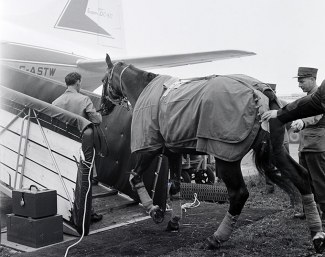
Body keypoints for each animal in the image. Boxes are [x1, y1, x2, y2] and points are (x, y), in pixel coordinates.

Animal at [100, 53, 324, 252]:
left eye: (103, 80)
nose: (102, 108)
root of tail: (260, 90)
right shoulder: (174, 152)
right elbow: (174, 186)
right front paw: (174, 221)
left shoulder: (149, 148)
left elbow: (134, 177)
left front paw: (154, 211)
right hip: (276, 151)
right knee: (301, 177)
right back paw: (317, 234)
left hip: (226, 155)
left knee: (239, 194)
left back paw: (216, 238)